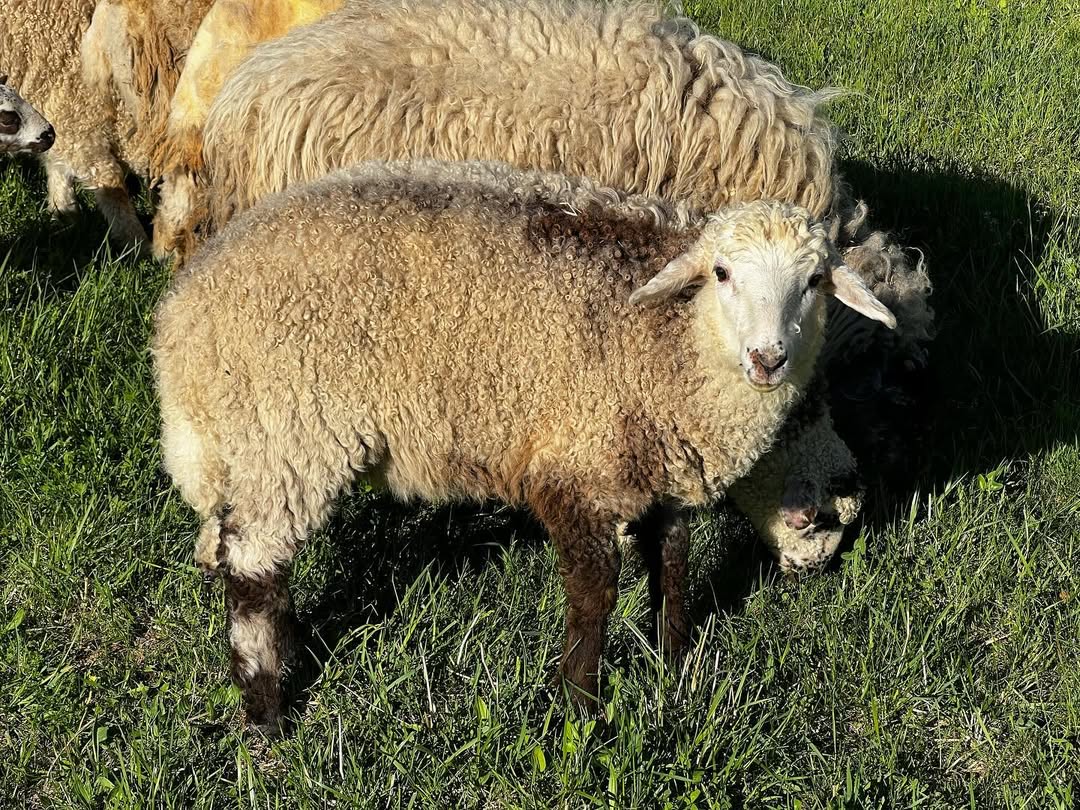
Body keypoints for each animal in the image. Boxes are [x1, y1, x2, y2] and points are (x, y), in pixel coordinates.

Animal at [153, 158, 896, 728]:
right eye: (721, 273)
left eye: (815, 281)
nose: (768, 358)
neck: (673, 345)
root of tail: (180, 320)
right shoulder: (576, 469)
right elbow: (596, 593)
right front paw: (582, 708)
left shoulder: (657, 466)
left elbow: (673, 564)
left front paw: (674, 665)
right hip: (286, 433)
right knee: (254, 571)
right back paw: (265, 714)